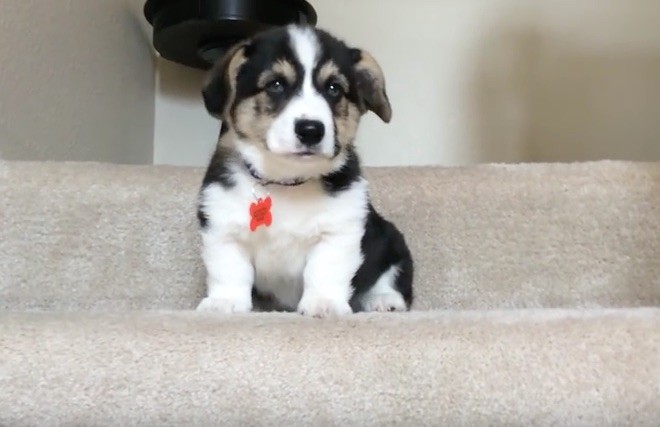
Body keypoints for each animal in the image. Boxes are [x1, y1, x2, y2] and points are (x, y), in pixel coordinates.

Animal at [196, 23, 412, 318]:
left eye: (334, 88)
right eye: (276, 85)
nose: (311, 130)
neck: (287, 182)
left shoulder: (338, 233)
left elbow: (324, 271)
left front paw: (324, 304)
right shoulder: (222, 229)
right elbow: (229, 271)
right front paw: (224, 303)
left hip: (391, 241)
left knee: (389, 278)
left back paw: (383, 300)